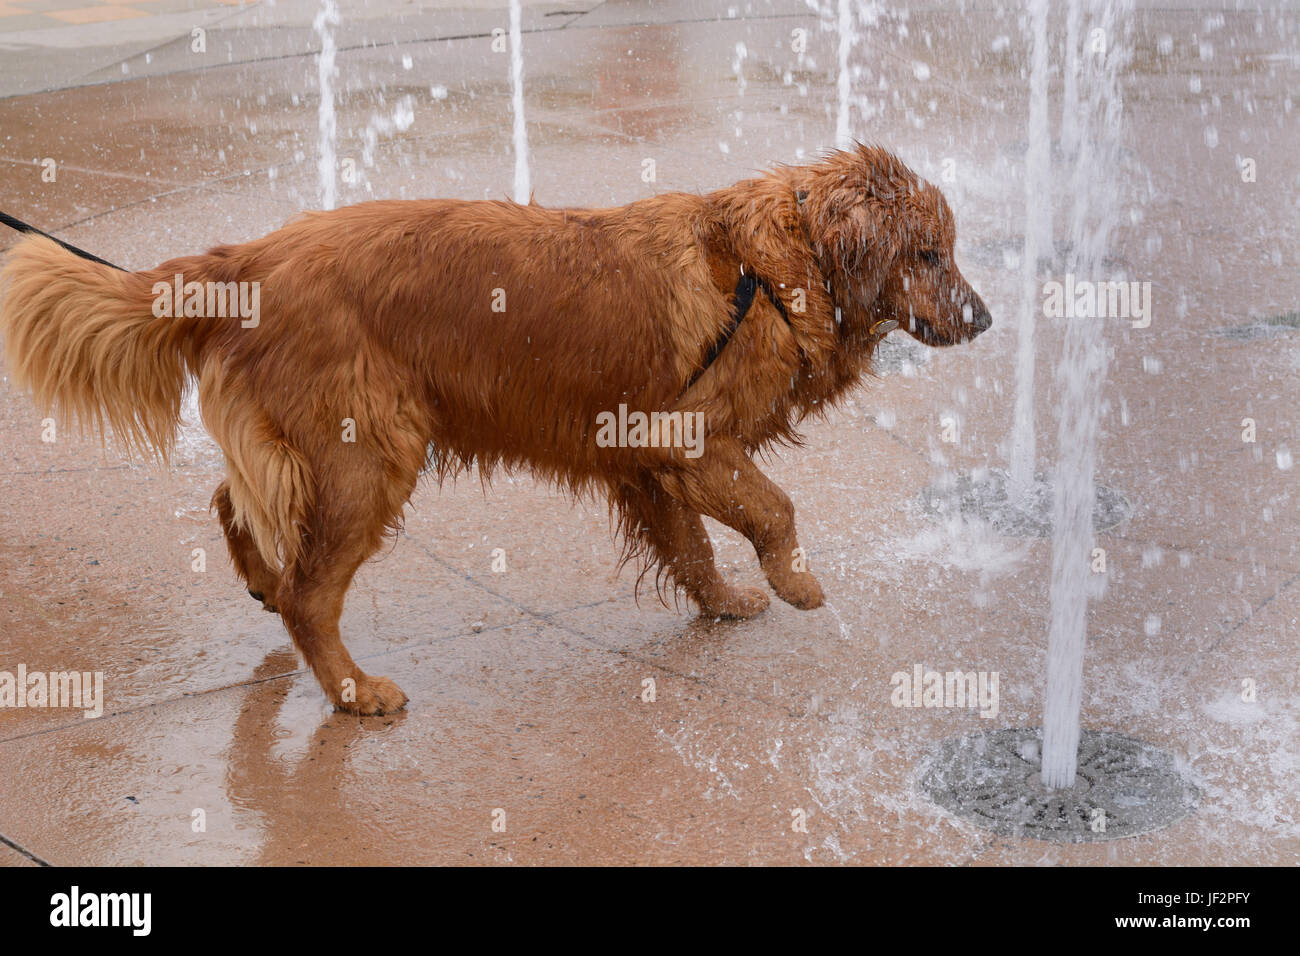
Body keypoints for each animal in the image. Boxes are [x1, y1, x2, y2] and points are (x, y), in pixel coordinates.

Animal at [2, 141, 993, 712]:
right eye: (929, 253)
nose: (985, 321)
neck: (774, 270)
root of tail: (242, 258)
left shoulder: (644, 458)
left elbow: (692, 545)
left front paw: (723, 602)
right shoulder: (687, 436)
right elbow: (774, 509)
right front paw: (795, 584)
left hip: (320, 447)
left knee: (232, 500)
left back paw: (255, 578)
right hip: (374, 456)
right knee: (307, 595)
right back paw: (355, 690)